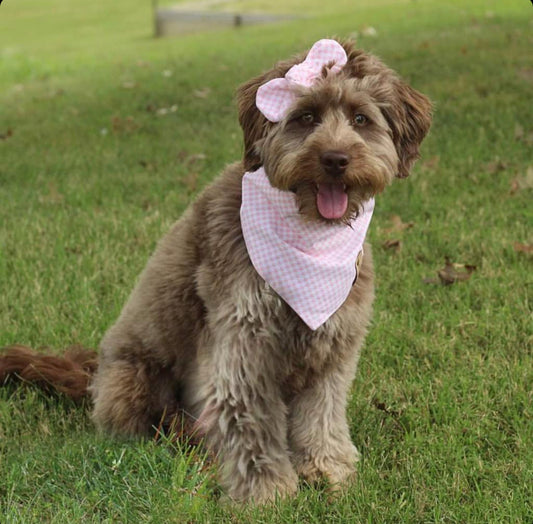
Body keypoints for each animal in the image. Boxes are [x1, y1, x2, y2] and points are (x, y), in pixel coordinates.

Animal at [1, 40, 432, 504]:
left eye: (360, 119)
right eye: (306, 117)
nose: (335, 159)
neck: (308, 235)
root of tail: (93, 377)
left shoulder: (334, 342)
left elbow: (322, 413)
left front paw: (327, 470)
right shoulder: (244, 339)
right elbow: (250, 417)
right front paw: (267, 492)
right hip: (136, 378)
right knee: (153, 425)